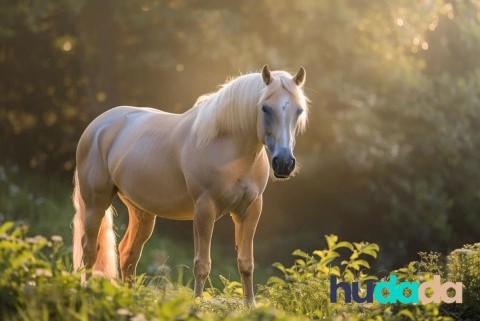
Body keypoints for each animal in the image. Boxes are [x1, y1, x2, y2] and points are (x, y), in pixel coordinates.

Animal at [73, 64, 310, 304]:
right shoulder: (205, 209)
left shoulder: (250, 210)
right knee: (90, 250)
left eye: (299, 110)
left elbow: (246, 263)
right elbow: (202, 265)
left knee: (128, 254)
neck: (228, 148)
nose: (284, 163)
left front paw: (250, 306)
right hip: (96, 204)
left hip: (142, 212)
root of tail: (97, 126)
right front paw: (197, 305)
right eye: (265, 108)